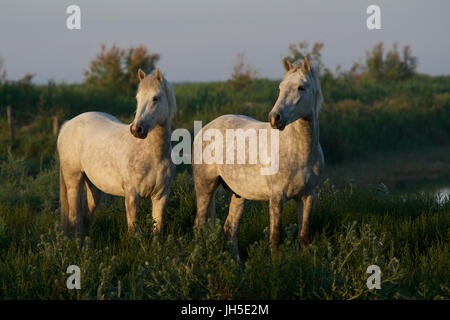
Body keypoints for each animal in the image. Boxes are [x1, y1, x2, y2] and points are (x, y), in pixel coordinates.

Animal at [56, 69, 176, 236]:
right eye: (138, 98)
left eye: (155, 98)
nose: (136, 130)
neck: (153, 156)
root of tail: (67, 125)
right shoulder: (132, 196)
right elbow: (132, 230)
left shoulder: (161, 196)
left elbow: (157, 231)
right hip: (73, 181)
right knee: (75, 218)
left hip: (93, 187)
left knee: (86, 217)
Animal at [193, 58, 324, 252]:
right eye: (280, 87)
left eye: (301, 87)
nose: (275, 118)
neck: (299, 152)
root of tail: (206, 128)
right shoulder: (277, 197)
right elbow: (275, 239)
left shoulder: (308, 196)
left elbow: (304, 236)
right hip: (205, 188)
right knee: (200, 226)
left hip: (238, 194)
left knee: (230, 228)